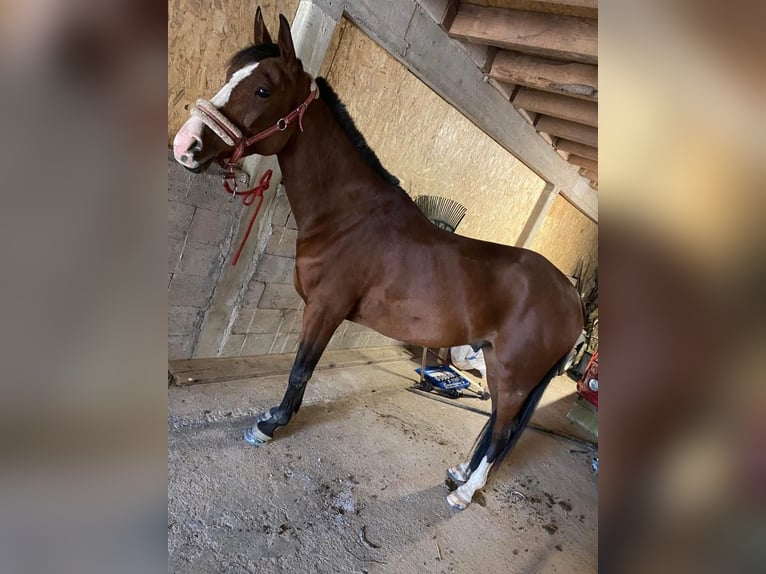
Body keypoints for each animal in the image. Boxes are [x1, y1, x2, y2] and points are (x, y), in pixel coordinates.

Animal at [172, 9, 584, 510]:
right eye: (231, 73)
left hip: (514, 374)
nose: (185, 145)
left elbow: (300, 370)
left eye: (263, 90)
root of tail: (572, 298)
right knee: (492, 429)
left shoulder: (325, 309)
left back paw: (465, 493)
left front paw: (270, 424)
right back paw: (459, 473)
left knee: (503, 431)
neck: (349, 216)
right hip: (499, 366)